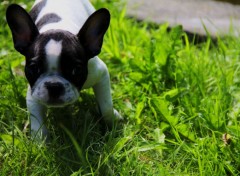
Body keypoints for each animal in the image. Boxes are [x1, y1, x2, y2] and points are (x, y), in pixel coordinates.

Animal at [5, 0, 122, 140]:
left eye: (76, 70)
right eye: (34, 68)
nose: (54, 86)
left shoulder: (100, 74)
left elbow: (106, 105)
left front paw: (112, 122)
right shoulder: (34, 90)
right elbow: (37, 121)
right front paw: (40, 141)